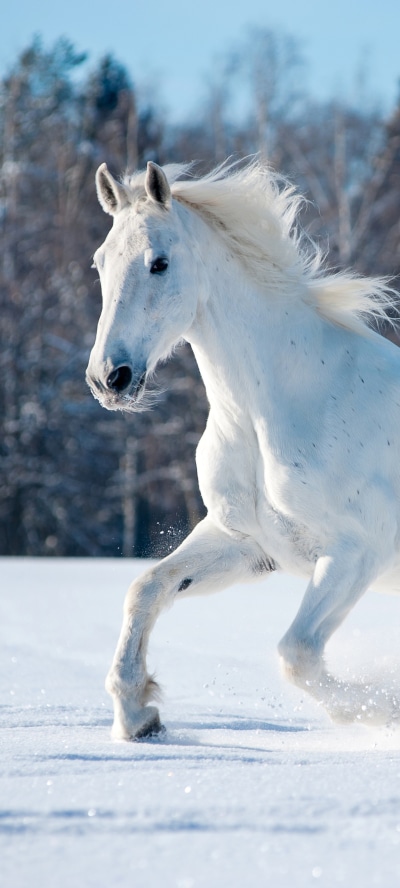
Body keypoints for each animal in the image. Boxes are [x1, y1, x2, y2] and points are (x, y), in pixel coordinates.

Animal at [86, 157, 400, 741]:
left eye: (159, 263)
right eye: (100, 263)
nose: (108, 378)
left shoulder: (356, 553)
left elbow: (297, 654)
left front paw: (383, 712)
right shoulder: (244, 542)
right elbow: (147, 588)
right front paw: (138, 714)